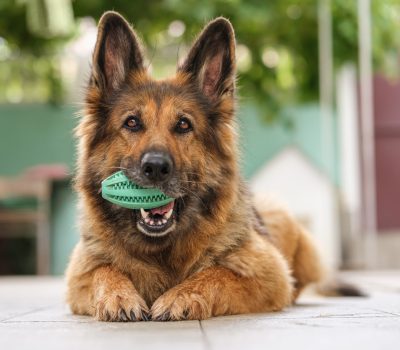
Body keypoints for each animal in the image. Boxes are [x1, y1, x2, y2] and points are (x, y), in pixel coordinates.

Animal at [65, 10, 322, 322]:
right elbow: (105, 270)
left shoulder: (271, 272)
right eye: (132, 122)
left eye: (184, 125)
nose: (155, 167)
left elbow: (217, 272)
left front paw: (181, 296)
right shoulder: (80, 272)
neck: (161, 250)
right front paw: (118, 296)